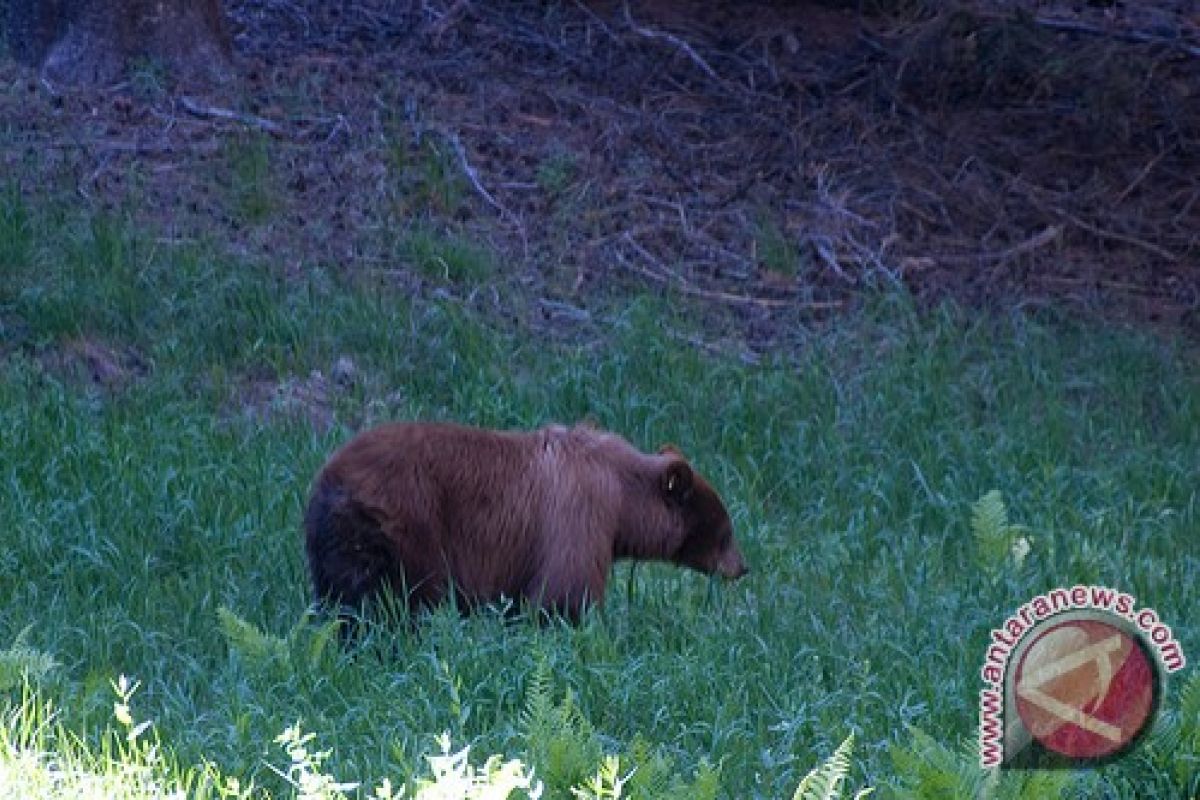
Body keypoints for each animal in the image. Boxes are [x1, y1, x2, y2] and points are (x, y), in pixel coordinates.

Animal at [302, 422, 748, 623]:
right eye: (726, 532)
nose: (743, 567)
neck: (622, 496)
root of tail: (331, 479)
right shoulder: (578, 518)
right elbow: (564, 594)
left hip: (336, 541)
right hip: (404, 527)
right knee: (399, 597)